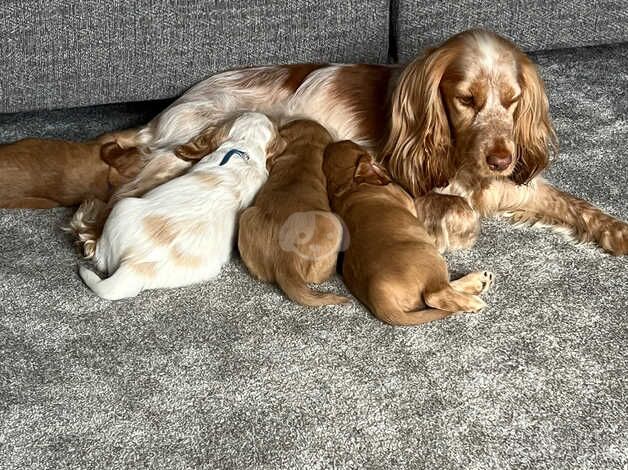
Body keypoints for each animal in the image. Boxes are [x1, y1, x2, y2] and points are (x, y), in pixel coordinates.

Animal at [0, 28, 624, 255]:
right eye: (466, 100)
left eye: (512, 101)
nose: (501, 157)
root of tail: (168, 110)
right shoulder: (397, 176)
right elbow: (458, 211)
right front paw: (446, 230)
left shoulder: (515, 187)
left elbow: (579, 206)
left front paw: (616, 233)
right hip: (187, 147)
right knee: (119, 186)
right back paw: (90, 230)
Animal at [324, 140, 496, 326]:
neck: (347, 184)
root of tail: (378, 296)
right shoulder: (409, 202)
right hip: (431, 257)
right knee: (434, 295)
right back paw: (475, 296)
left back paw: (479, 282)